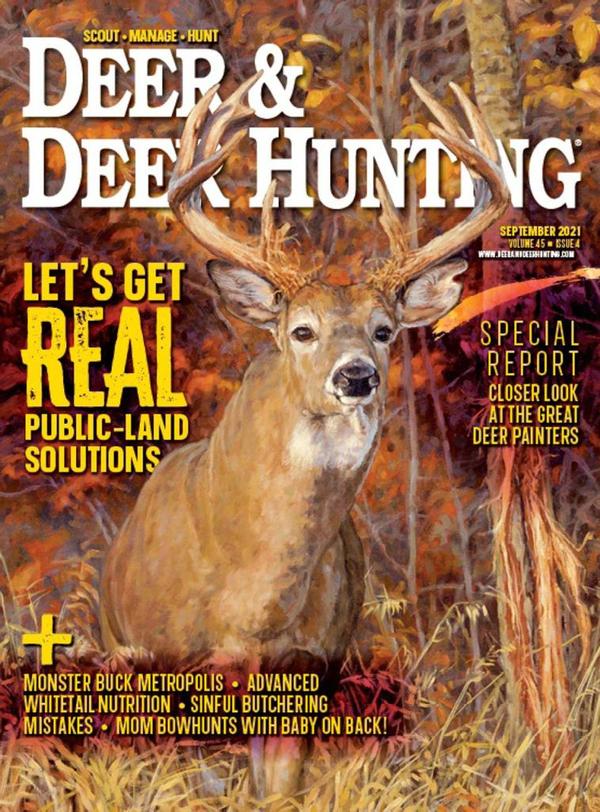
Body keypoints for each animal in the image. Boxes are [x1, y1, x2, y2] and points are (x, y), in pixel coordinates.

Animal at [100, 74, 509, 799]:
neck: (254, 597)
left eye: (384, 330)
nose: (357, 375)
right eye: (302, 330)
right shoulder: (165, 661)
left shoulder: (306, 672)